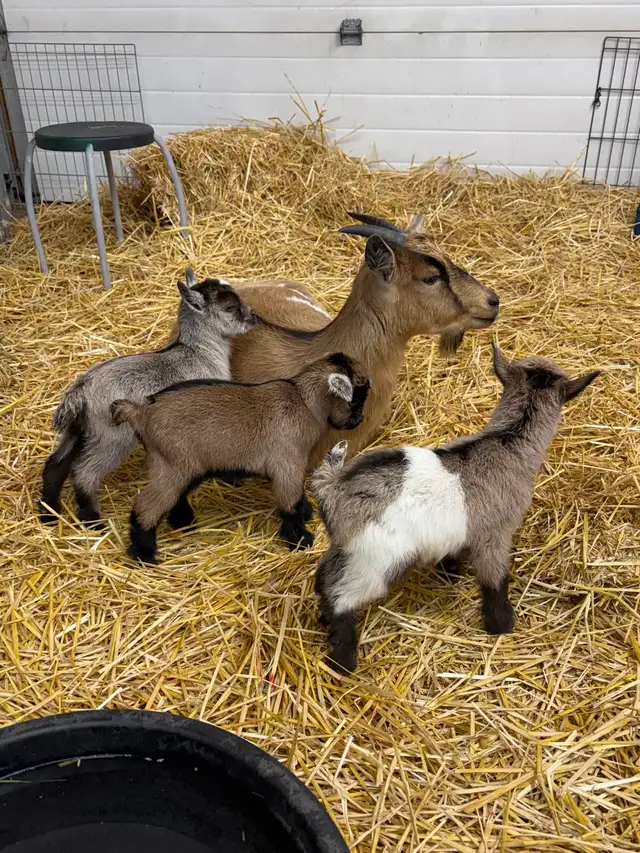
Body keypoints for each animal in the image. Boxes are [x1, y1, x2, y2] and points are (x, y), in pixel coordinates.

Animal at [39, 269, 257, 525]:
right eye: (230, 308)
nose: (253, 317)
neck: (198, 353)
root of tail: (82, 390)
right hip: (113, 436)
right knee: (84, 472)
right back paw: (93, 521)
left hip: (78, 431)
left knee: (55, 465)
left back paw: (49, 512)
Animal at [110, 352, 372, 564]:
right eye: (357, 399)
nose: (359, 420)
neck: (302, 400)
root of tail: (141, 412)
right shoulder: (287, 463)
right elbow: (289, 502)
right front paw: (300, 539)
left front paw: (306, 512)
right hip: (172, 465)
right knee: (146, 506)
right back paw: (144, 555)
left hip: (182, 467)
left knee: (176, 496)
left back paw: (183, 523)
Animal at [312, 345, 599, 673]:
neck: (506, 442)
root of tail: (334, 485)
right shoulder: (495, 534)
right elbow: (494, 580)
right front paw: (501, 626)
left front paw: (450, 573)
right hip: (377, 559)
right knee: (343, 596)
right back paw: (343, 660)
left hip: (349, 545)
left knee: (326, 573)